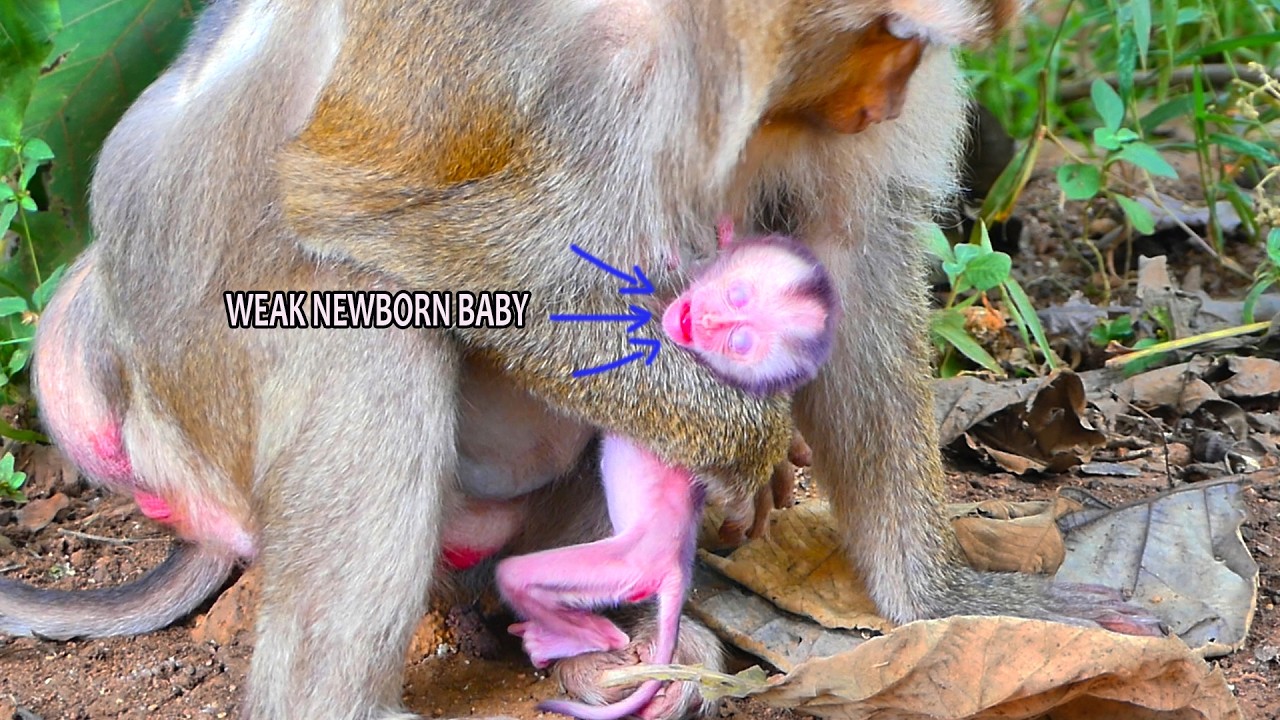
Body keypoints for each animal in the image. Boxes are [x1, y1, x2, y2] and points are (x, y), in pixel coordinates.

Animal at [495, 235, 838, 720]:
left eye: (740, 341)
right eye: (738, 295)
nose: (706, 317)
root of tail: (674, 569)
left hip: (619, 564)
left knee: (521, 578)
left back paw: (581, 637)